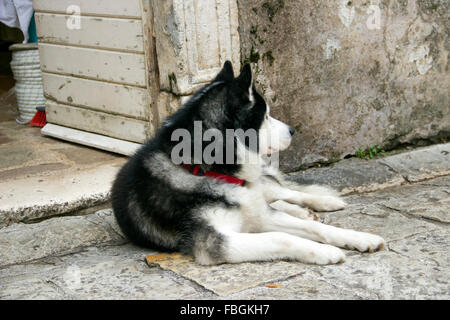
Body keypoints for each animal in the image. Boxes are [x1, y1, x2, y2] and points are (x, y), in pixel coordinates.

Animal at [111, 60, 384, 264]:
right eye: (266, 116)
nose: (293, 131)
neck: (204, 168)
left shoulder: (257, 212)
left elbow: (314, 229)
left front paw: (359, 237)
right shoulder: (214, 242)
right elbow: (279, 237)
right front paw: (325, 251)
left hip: (262, 190)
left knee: (282, 192)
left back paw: (322, 203)